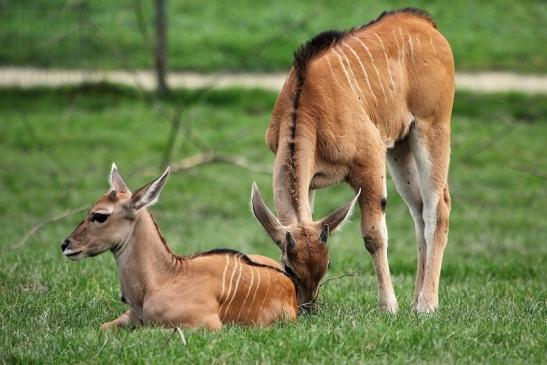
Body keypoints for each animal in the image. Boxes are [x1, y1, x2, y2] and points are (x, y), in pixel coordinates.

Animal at [62, 164, 298, 328]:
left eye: (99, 215)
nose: (65, 244)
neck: (164, 278)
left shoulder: (207, 326)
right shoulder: (128, 318)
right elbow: (102, 328)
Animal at [252, 7, 454, 312]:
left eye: (328, 265)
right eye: (288, 268)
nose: (308, 308)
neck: (308, 103)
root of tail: (424, 22)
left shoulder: (369, 163)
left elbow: (374, 236)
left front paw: (388, 307)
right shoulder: (310, 182)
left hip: (432, 128)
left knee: (437, 208)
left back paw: (426, 305)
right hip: (400, 146)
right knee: (419, 210)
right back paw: (416, 300)